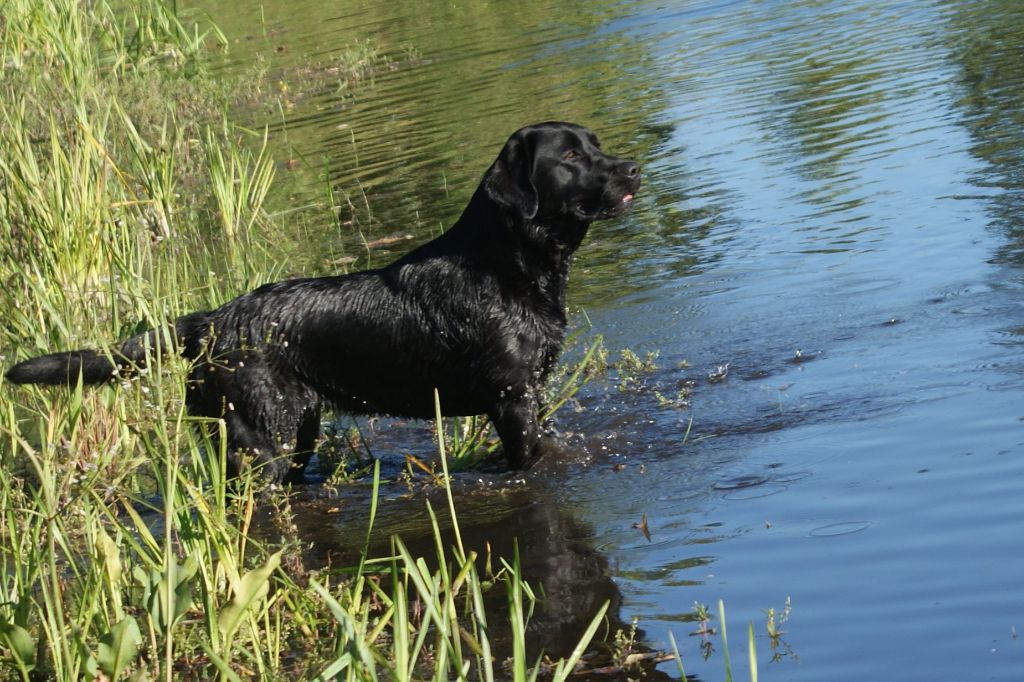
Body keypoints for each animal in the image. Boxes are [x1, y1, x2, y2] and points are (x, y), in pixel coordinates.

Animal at [4, 122, 638, 483]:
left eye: (598, 145)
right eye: (570, 158)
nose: (632, 167)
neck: (506, 265)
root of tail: (210, 321)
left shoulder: (531, 394)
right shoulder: (512, 403)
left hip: (295, 433)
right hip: (261, 440)